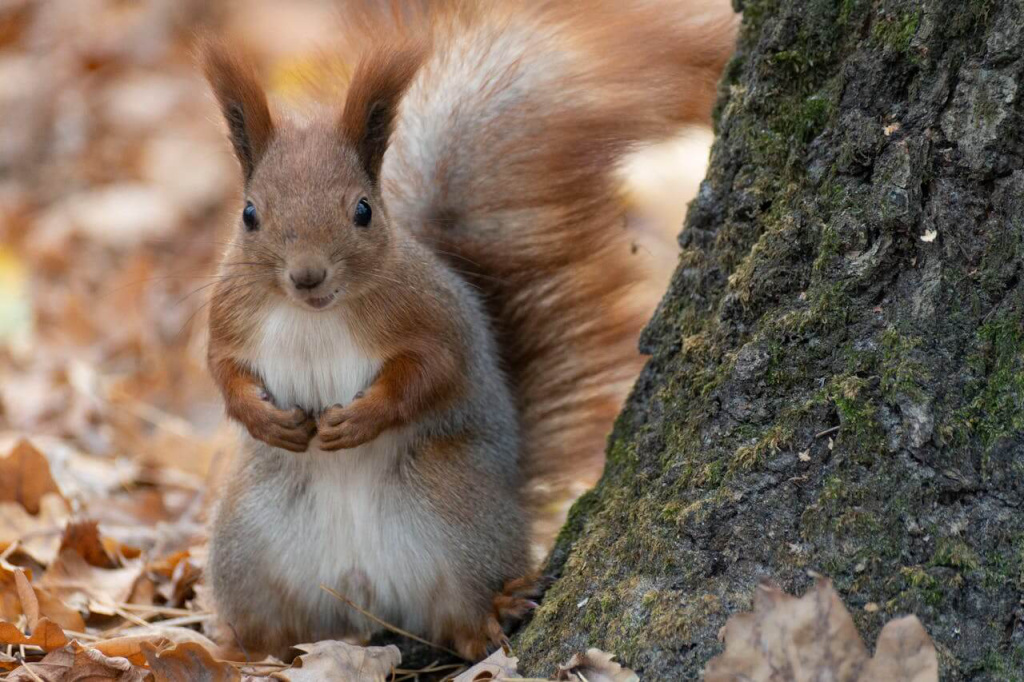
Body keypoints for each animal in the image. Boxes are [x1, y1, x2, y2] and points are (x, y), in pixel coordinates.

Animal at [202, 0, 737, 663]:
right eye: (250, 214)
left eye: (363, 210)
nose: (306, 276)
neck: (314, 316)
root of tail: (364, 594)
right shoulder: (230, 315)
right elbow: (222, 370)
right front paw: (265, 420)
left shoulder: (433, 318)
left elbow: (431, 374)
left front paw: (360, 419)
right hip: (248, 548)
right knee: (278, 628)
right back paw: (243, 650)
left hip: (454, 514)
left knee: (459, 614)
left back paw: (493, 613)